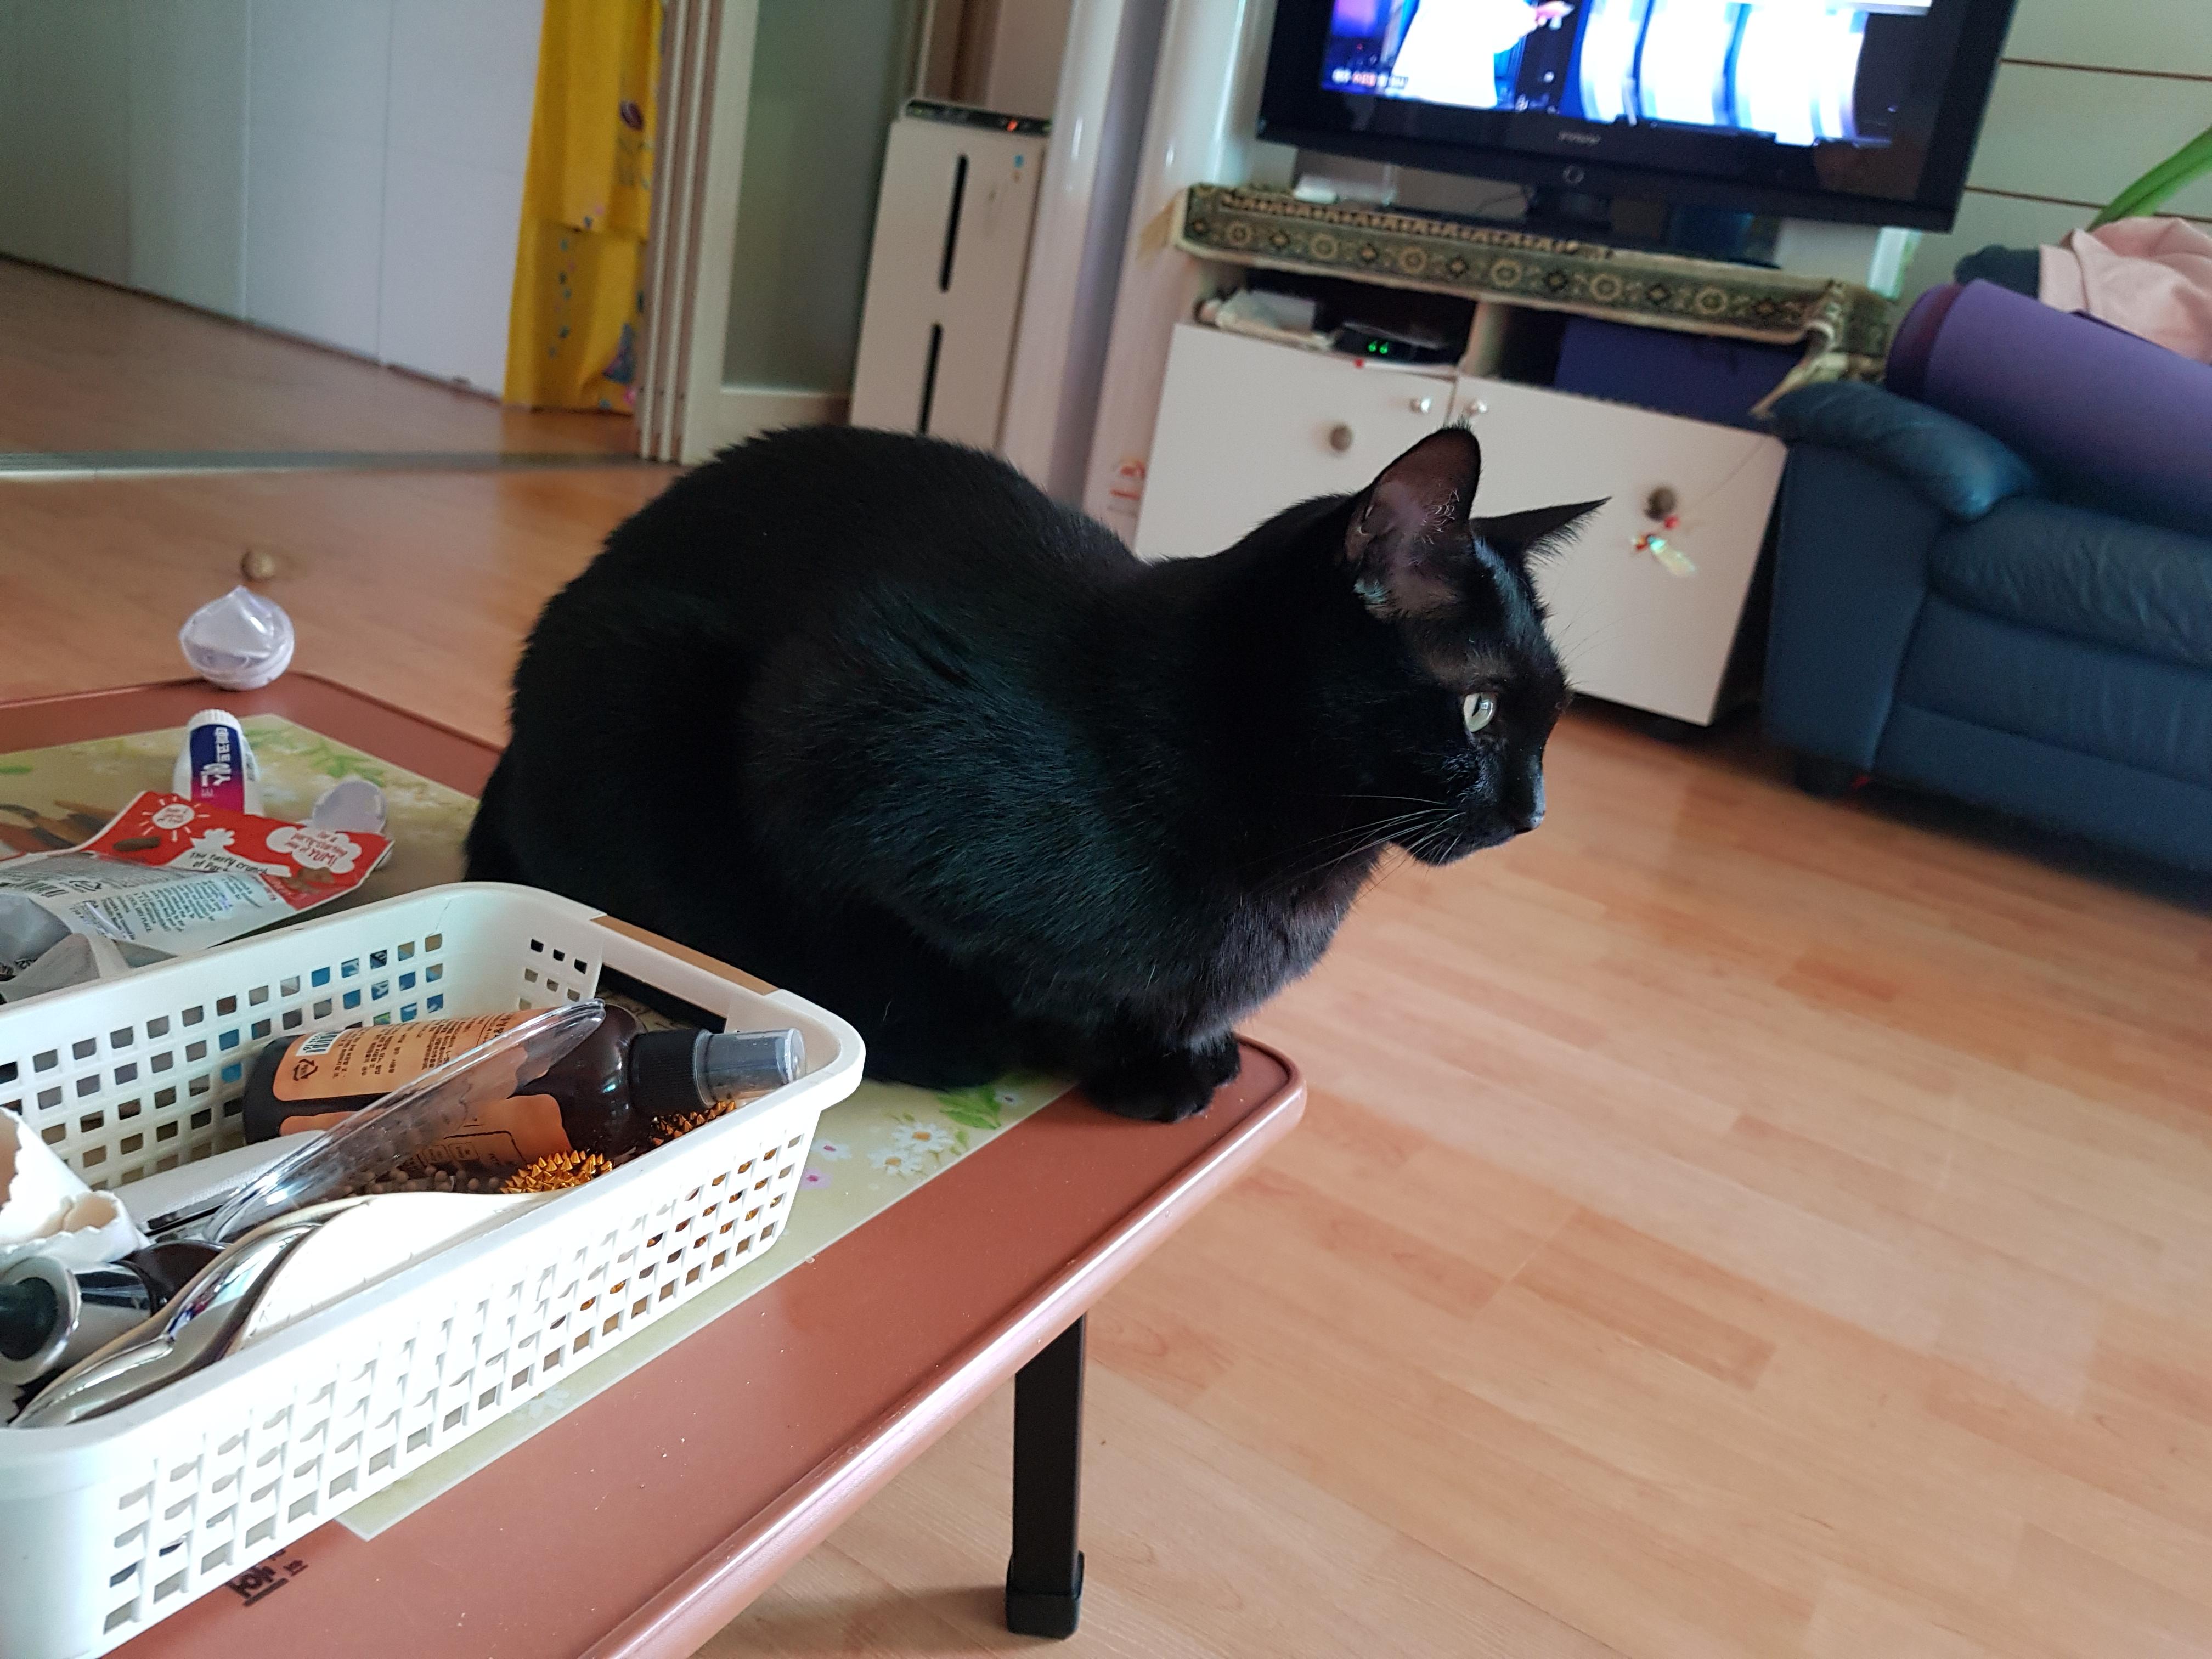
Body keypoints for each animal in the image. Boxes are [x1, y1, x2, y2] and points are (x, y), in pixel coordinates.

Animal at [466, 423, 1596, 1121]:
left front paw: (1180, 1049)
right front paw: (1080, 1055)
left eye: (1551, 720)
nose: (1536, 812)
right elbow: (959, 970)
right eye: (1481, 709)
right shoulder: (828, 731)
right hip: (641, 682)